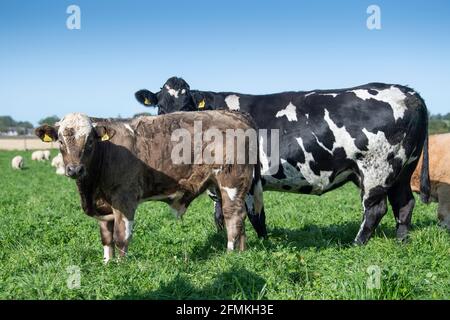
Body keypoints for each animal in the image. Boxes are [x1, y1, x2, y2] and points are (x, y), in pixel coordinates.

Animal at [135, 78, 430, 245]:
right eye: (161, 107)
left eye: (187, 106)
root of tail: (408, 92)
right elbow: (221, 214)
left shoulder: (247, 179)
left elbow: (254, 215)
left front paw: (261, 245)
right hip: (403, 170)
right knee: (404, 204)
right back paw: (401, 242)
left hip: (377, 168)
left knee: (375, 209)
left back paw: (357, 244)